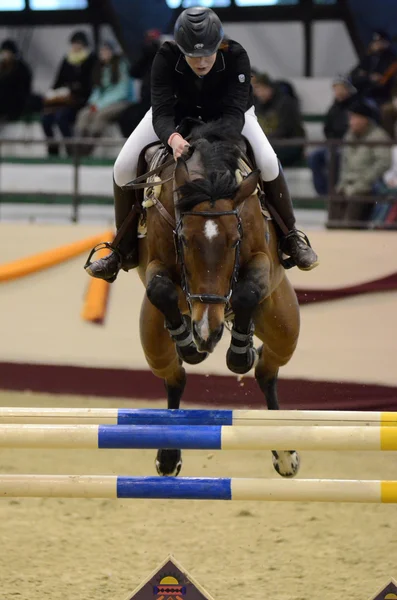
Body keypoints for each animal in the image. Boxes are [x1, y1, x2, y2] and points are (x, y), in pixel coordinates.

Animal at [135, 122, 298, 478]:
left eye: (235, 239)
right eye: (183, 239)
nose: (206, 327)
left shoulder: (262, 260)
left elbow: (247, 292)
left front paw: (237, 353)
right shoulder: (156, 264)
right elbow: (161, 291)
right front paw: (189, 344)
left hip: (283, 326)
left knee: (266, 368)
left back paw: (284, 453)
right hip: (153, 339)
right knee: (175, 376)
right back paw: (168, 455)